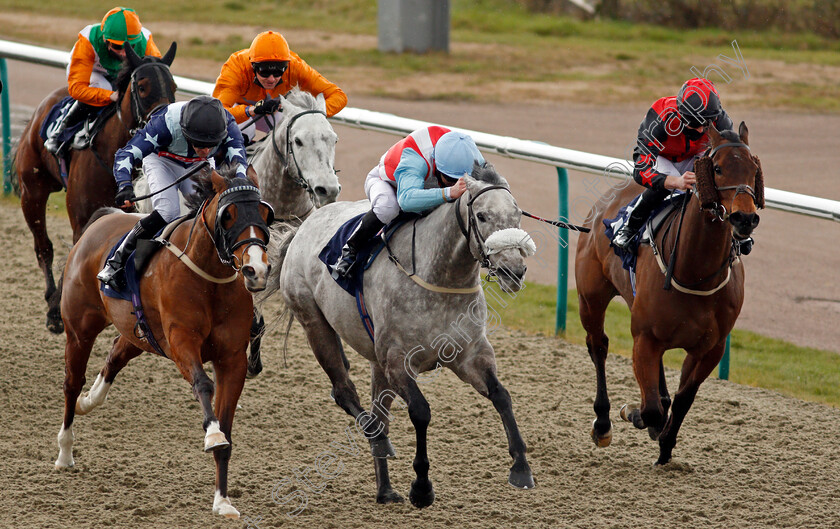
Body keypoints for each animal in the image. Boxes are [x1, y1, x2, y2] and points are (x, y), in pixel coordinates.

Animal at [13, 41, 176, 332]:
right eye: (142, 87)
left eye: (173, 86)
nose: (164, 127)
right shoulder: (82, 218)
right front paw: (57, 310)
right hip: (32, 191)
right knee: (43, 246)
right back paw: (51, 298)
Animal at [52, 164, 274, 516]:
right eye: (228, 215)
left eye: (265, 212)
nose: (256, 270)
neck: (209, 280)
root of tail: (104, 218)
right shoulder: (182, 342)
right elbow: (203, 385)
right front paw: (212, 434)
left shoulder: (233, 359)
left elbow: (227, 427)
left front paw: (222, 500)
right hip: (79, 330)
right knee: (72, 382)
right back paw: (65, 451)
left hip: (138, 334)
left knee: (115, 354)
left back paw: (89, 400)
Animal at [270, 164, 540, 508]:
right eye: (481, 216)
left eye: (517, 214)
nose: (513, 272)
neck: (439, 279)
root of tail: (301, 228)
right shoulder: (397, 361)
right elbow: (421, 412)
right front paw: (422, 487)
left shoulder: (470, 355)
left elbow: (501, 395)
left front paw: (521, 468)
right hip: (315, 323)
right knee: (344, 392)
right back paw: (379, 441)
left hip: (376, 362)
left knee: (377, 411)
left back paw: (385, 488)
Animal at [576, 121, 764, 464]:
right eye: (717, 168)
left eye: (753, 169)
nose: (745, 218)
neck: (696, 273)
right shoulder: (644, 338)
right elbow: (650, 408)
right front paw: (637, 414)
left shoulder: (710, 348)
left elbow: (684, 398)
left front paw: (665, 445)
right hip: (590, 297)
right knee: (598, 346)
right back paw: (603, 423)